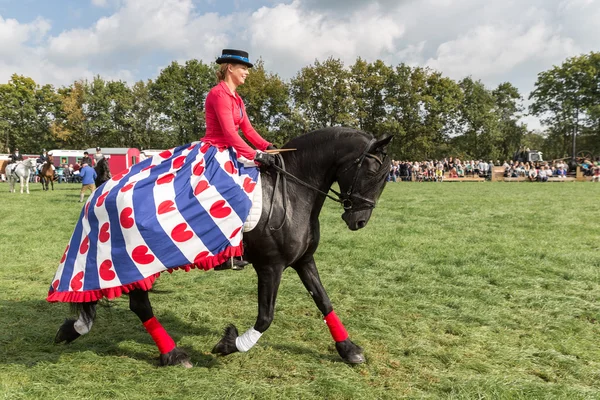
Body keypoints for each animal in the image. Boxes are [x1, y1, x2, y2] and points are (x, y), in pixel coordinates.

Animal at [55, 127, 394, 366]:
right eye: (372, 172)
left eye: (386, 176)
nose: (358, 220)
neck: (293, 191)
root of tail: (101, 191)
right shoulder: (270, 266)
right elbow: (265, 317)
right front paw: (229, 344)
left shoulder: (303, 260)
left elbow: (324, 301)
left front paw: (348, 349)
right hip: (133, 263)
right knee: (139, 305)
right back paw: (174, 355)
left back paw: (75, 329)